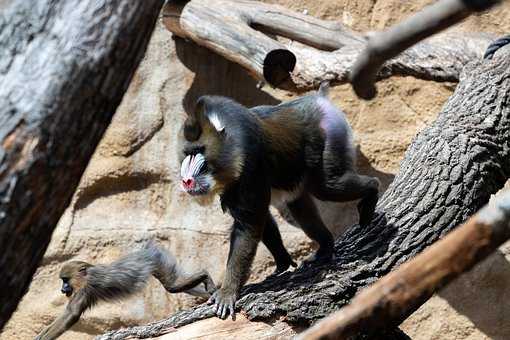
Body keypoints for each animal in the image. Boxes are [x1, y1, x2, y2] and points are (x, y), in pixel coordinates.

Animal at [35, 242, 215, 340]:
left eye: (65, 280)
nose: (62, 289)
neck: (88, 274)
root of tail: (147, 251)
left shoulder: (86, 288)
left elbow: (71, 314)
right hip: (160, 263)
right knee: (175, 283)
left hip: (155, 261)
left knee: (173, 285)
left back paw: (205, 276)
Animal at [179, 82, 378, 318]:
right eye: (187, 153)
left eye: (199, 151)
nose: (186, 181)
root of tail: (319, 100)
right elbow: (263, 221)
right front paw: (282, 265)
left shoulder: (251, 169)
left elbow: (249, 227)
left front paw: (227, 293)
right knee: (300, 208)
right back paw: (324, 249)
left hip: (330, 148)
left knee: (332, 186)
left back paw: (370, 200)